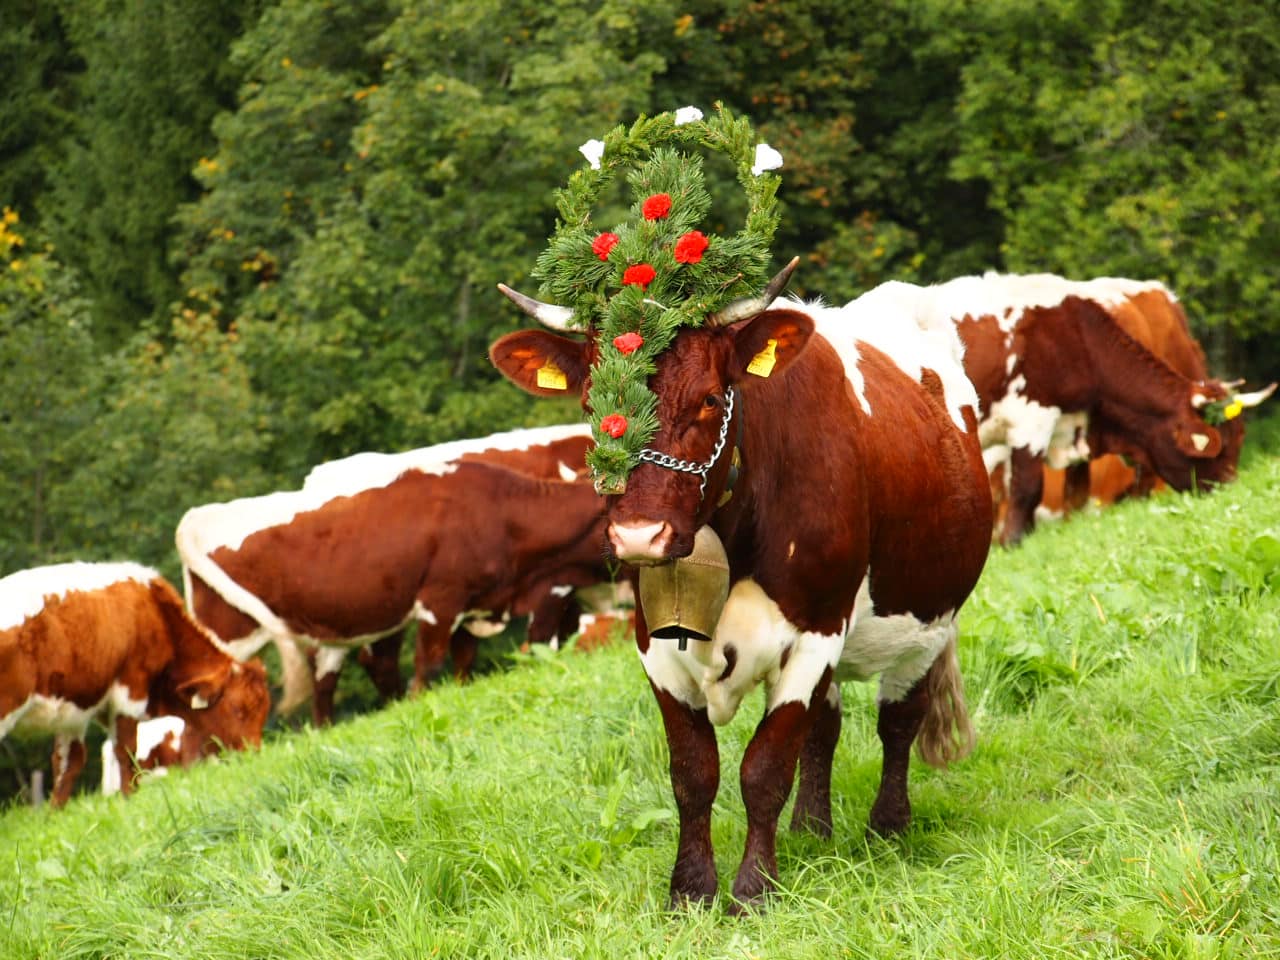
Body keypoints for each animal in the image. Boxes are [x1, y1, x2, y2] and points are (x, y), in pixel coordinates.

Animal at [0, 562, 269, 807]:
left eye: (263, 711)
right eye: (238, 709)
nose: (253, 755)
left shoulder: (76, 710)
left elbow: (67, 763)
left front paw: (54, 814)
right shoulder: (130, 689)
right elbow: (126, 749)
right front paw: (129, 799)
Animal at [178, 451, 613, 727]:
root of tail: (201, 514)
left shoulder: (475, 604)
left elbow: (463, 660)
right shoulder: (441, 600)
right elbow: (429, 663)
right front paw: (418, 701)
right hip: (226, 638)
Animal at [490, 267, 993, 910]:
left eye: (709, 398)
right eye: (590, 404)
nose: (638, 535)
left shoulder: (817, 632)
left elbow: (764, 768)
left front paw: (754, 890)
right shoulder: (654, 646)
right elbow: (694, 773)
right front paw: (690, 891)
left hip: (929, 619)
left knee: (899, 719)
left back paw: (888, 828)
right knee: (825, 730)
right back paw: (811, 829)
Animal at [939, 272, 1273, 545]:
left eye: (1240, 438)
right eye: (1220, 447)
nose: (1229, 490)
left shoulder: (1075, 429)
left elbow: (1075, 497)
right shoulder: (1032, 417)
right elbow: (1026, 488)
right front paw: (1014, 543)